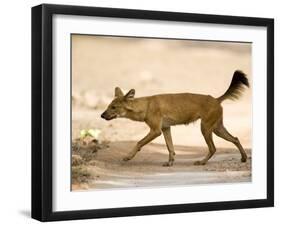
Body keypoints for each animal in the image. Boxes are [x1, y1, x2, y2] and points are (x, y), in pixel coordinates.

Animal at [101, 70, 249, 166]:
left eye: (113, 107)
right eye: (108, 106)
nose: (101, 115)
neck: (145, 106)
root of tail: (216, 99)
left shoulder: (156, 130)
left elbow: (139, 142)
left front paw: (128, 157)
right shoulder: (166, 128)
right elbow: (170, 147)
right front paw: (170, 162)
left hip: (205, 127)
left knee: (213, 148)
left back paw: (201, 162)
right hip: (217, 128)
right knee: (235, 138)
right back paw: (244, 158)